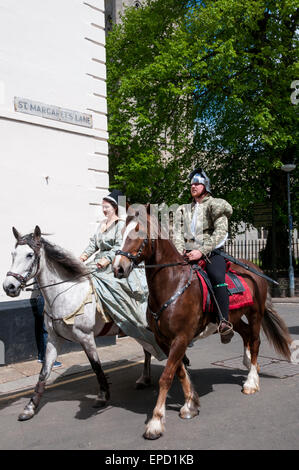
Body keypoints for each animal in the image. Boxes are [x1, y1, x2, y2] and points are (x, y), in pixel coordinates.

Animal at [113, 206, 292, 440]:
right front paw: (190, 405)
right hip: (233, 317)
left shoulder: (181, 338)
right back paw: (246, 363)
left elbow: (167, 376)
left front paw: (155, 422)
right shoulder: (164, 340)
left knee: (255, 342)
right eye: (121, 233)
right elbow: (179, 371)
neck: (172, 284)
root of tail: (256, 269)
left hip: (256, 314)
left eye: (139, 234)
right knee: (244, 334)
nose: (118, 268)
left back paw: (251, 381)